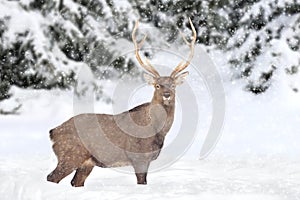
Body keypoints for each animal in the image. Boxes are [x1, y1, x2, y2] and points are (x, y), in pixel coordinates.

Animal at [46, 18, 197, 187]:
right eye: (157, 85)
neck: (157, 130)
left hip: (86, 163)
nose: (166, 95)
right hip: (70, 154)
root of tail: (53, 132)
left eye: (173, 85)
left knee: (74, 182)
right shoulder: (139, 157)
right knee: (51, 178)